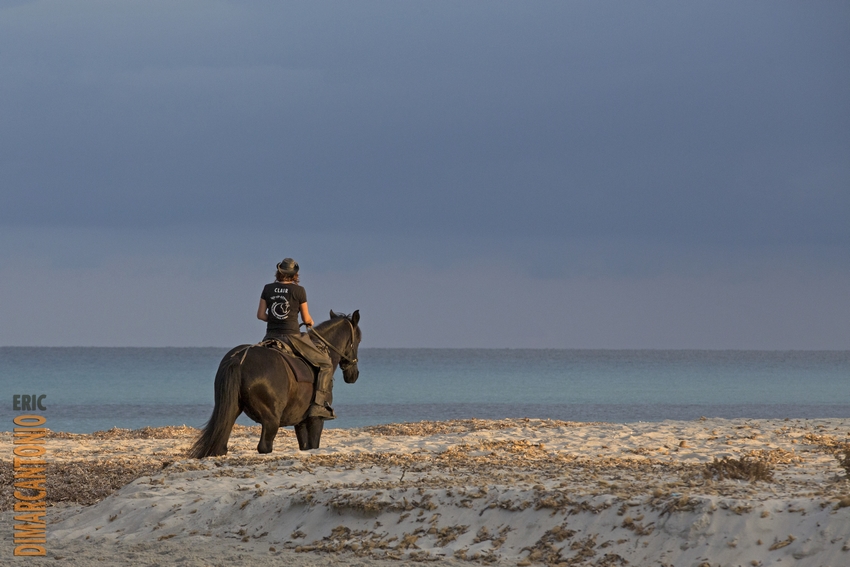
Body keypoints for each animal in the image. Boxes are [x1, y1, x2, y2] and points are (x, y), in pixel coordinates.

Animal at [189, 310, 361, 458]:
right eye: (358, 340)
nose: (354, 375)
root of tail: (239, 358)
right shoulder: (316, 420)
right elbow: (314, 445)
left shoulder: (300, 422)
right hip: (271, 420)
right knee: (264, 446)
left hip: (231, 411)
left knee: (221, 445)